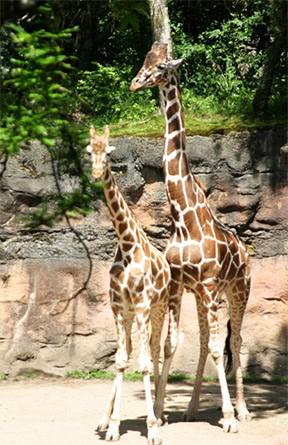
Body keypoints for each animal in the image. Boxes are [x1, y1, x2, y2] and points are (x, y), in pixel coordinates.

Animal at [86, 123, 170, 442]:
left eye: (109, 152)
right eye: (89, 150)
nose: (97, 171)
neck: (127, 244)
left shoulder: (144, 305)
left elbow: (144, 363)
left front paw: (152, 428)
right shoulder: (119, 306)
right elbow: (121, 359)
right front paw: (112, 425)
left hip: (159, 308)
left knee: (156, 349)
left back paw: (159, 413)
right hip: (135, 314)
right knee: (135, 349)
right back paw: (105, 418)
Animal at [129, 41, 251, 430]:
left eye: (161, 66)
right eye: (144, 60)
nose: (136, 82)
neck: (183, 217)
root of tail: (246, 250)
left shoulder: (210, 285)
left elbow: (218, 347)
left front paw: (228, 416)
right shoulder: (180, 285)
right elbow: (172, 344)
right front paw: (160, 411)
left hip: (237, 289)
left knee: (235, 340)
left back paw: (243, 410)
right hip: (203, 296)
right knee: (205, 342)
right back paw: (194, 407)